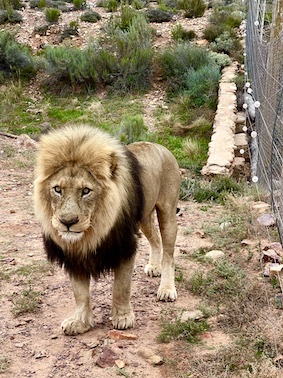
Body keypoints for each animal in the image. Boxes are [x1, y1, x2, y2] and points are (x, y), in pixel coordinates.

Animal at [33, 125, 180, 336]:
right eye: (57, 189)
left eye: (86, 191)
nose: (67, 222)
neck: (93, 232)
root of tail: (161, 146)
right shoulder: (74, 254)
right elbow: (80, 293)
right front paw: (80, 322)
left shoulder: (124, 245)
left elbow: (121, 287)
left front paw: (123, 318)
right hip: (144, 218)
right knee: (156, 240)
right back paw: (154, 267)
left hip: (167, 212)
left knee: (169, 253)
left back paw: (167, 289)